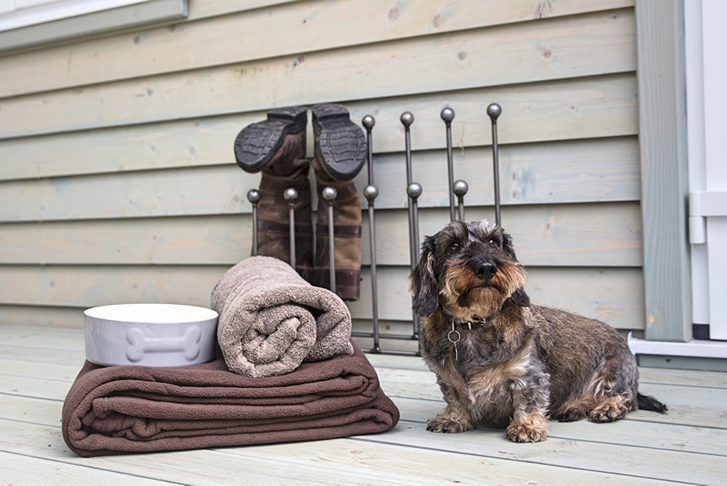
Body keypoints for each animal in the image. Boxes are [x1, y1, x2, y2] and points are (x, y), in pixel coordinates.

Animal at [410, 219, 664, 440]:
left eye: (493, 242)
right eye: (453, 246)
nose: (486, 268)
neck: (474, 324)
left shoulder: (529, 374)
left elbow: (528, 401)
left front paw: (526, 427)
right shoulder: (447, 379)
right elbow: (455, 399)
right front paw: (453, 419)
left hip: (612, 372)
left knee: (627, 398)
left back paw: (608, 407)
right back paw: (573, 408)